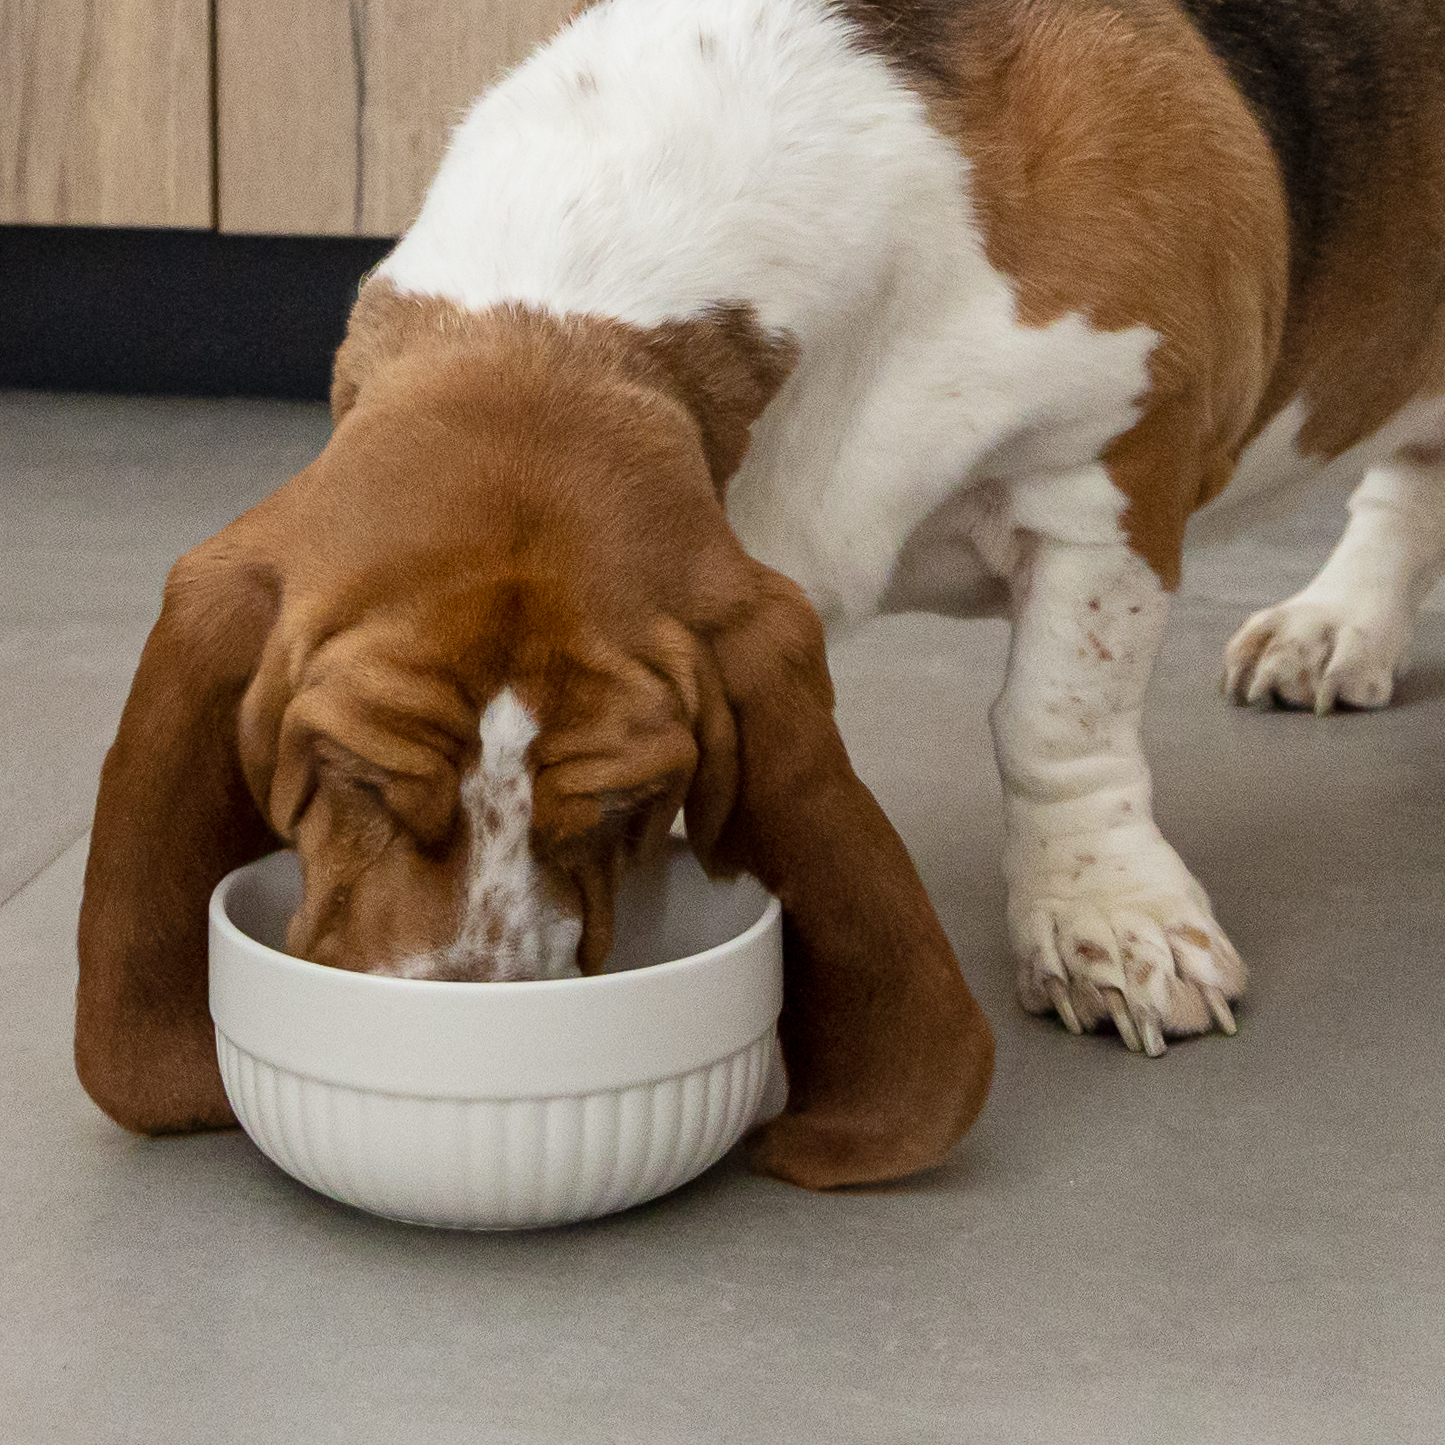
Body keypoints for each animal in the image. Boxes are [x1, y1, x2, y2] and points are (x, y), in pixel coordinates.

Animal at [76, 0, 1445, 1184]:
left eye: (628, 799)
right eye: (355, 778)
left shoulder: (1103, 468)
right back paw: (1339, 626)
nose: (480, 1012)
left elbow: (1054, 723)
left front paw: (1102, 920)